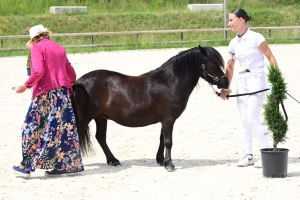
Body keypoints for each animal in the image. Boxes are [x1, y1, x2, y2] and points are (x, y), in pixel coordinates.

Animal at [71, 45, 229, 172]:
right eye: (212, 64)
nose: (225, 82)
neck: (170, 81)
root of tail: (78, 82)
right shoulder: (168, 119)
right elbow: (168, 141)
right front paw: (169, 164)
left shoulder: (165, 120)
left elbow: (162, 139)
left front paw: (161, 160)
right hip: (85, 118)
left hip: (101, 117)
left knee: (101, 138)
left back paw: (113, 161)